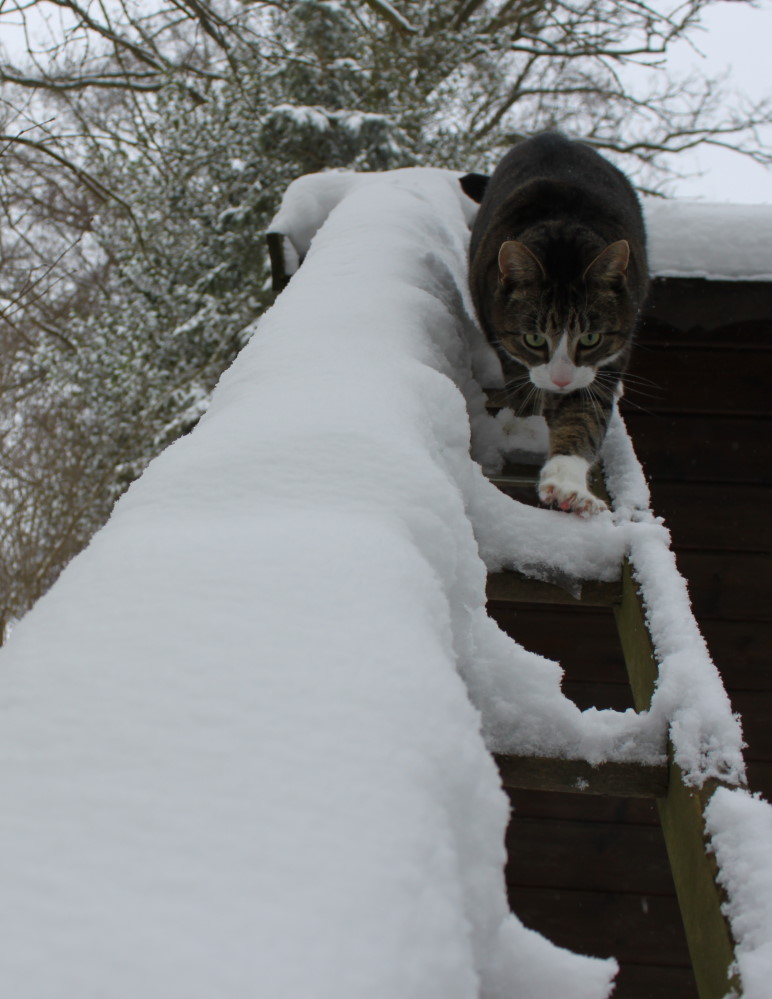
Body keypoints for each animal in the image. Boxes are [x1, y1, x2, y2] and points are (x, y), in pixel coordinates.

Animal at [462, 135, 648, 516]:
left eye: (590, 338)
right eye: (534, 338)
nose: (561, 380)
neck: (564, 241)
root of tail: (553, 136)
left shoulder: (605, 362)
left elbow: (584, 417)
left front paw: (567, 486)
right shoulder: (506, 343)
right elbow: (523, 385)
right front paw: (528, 426)